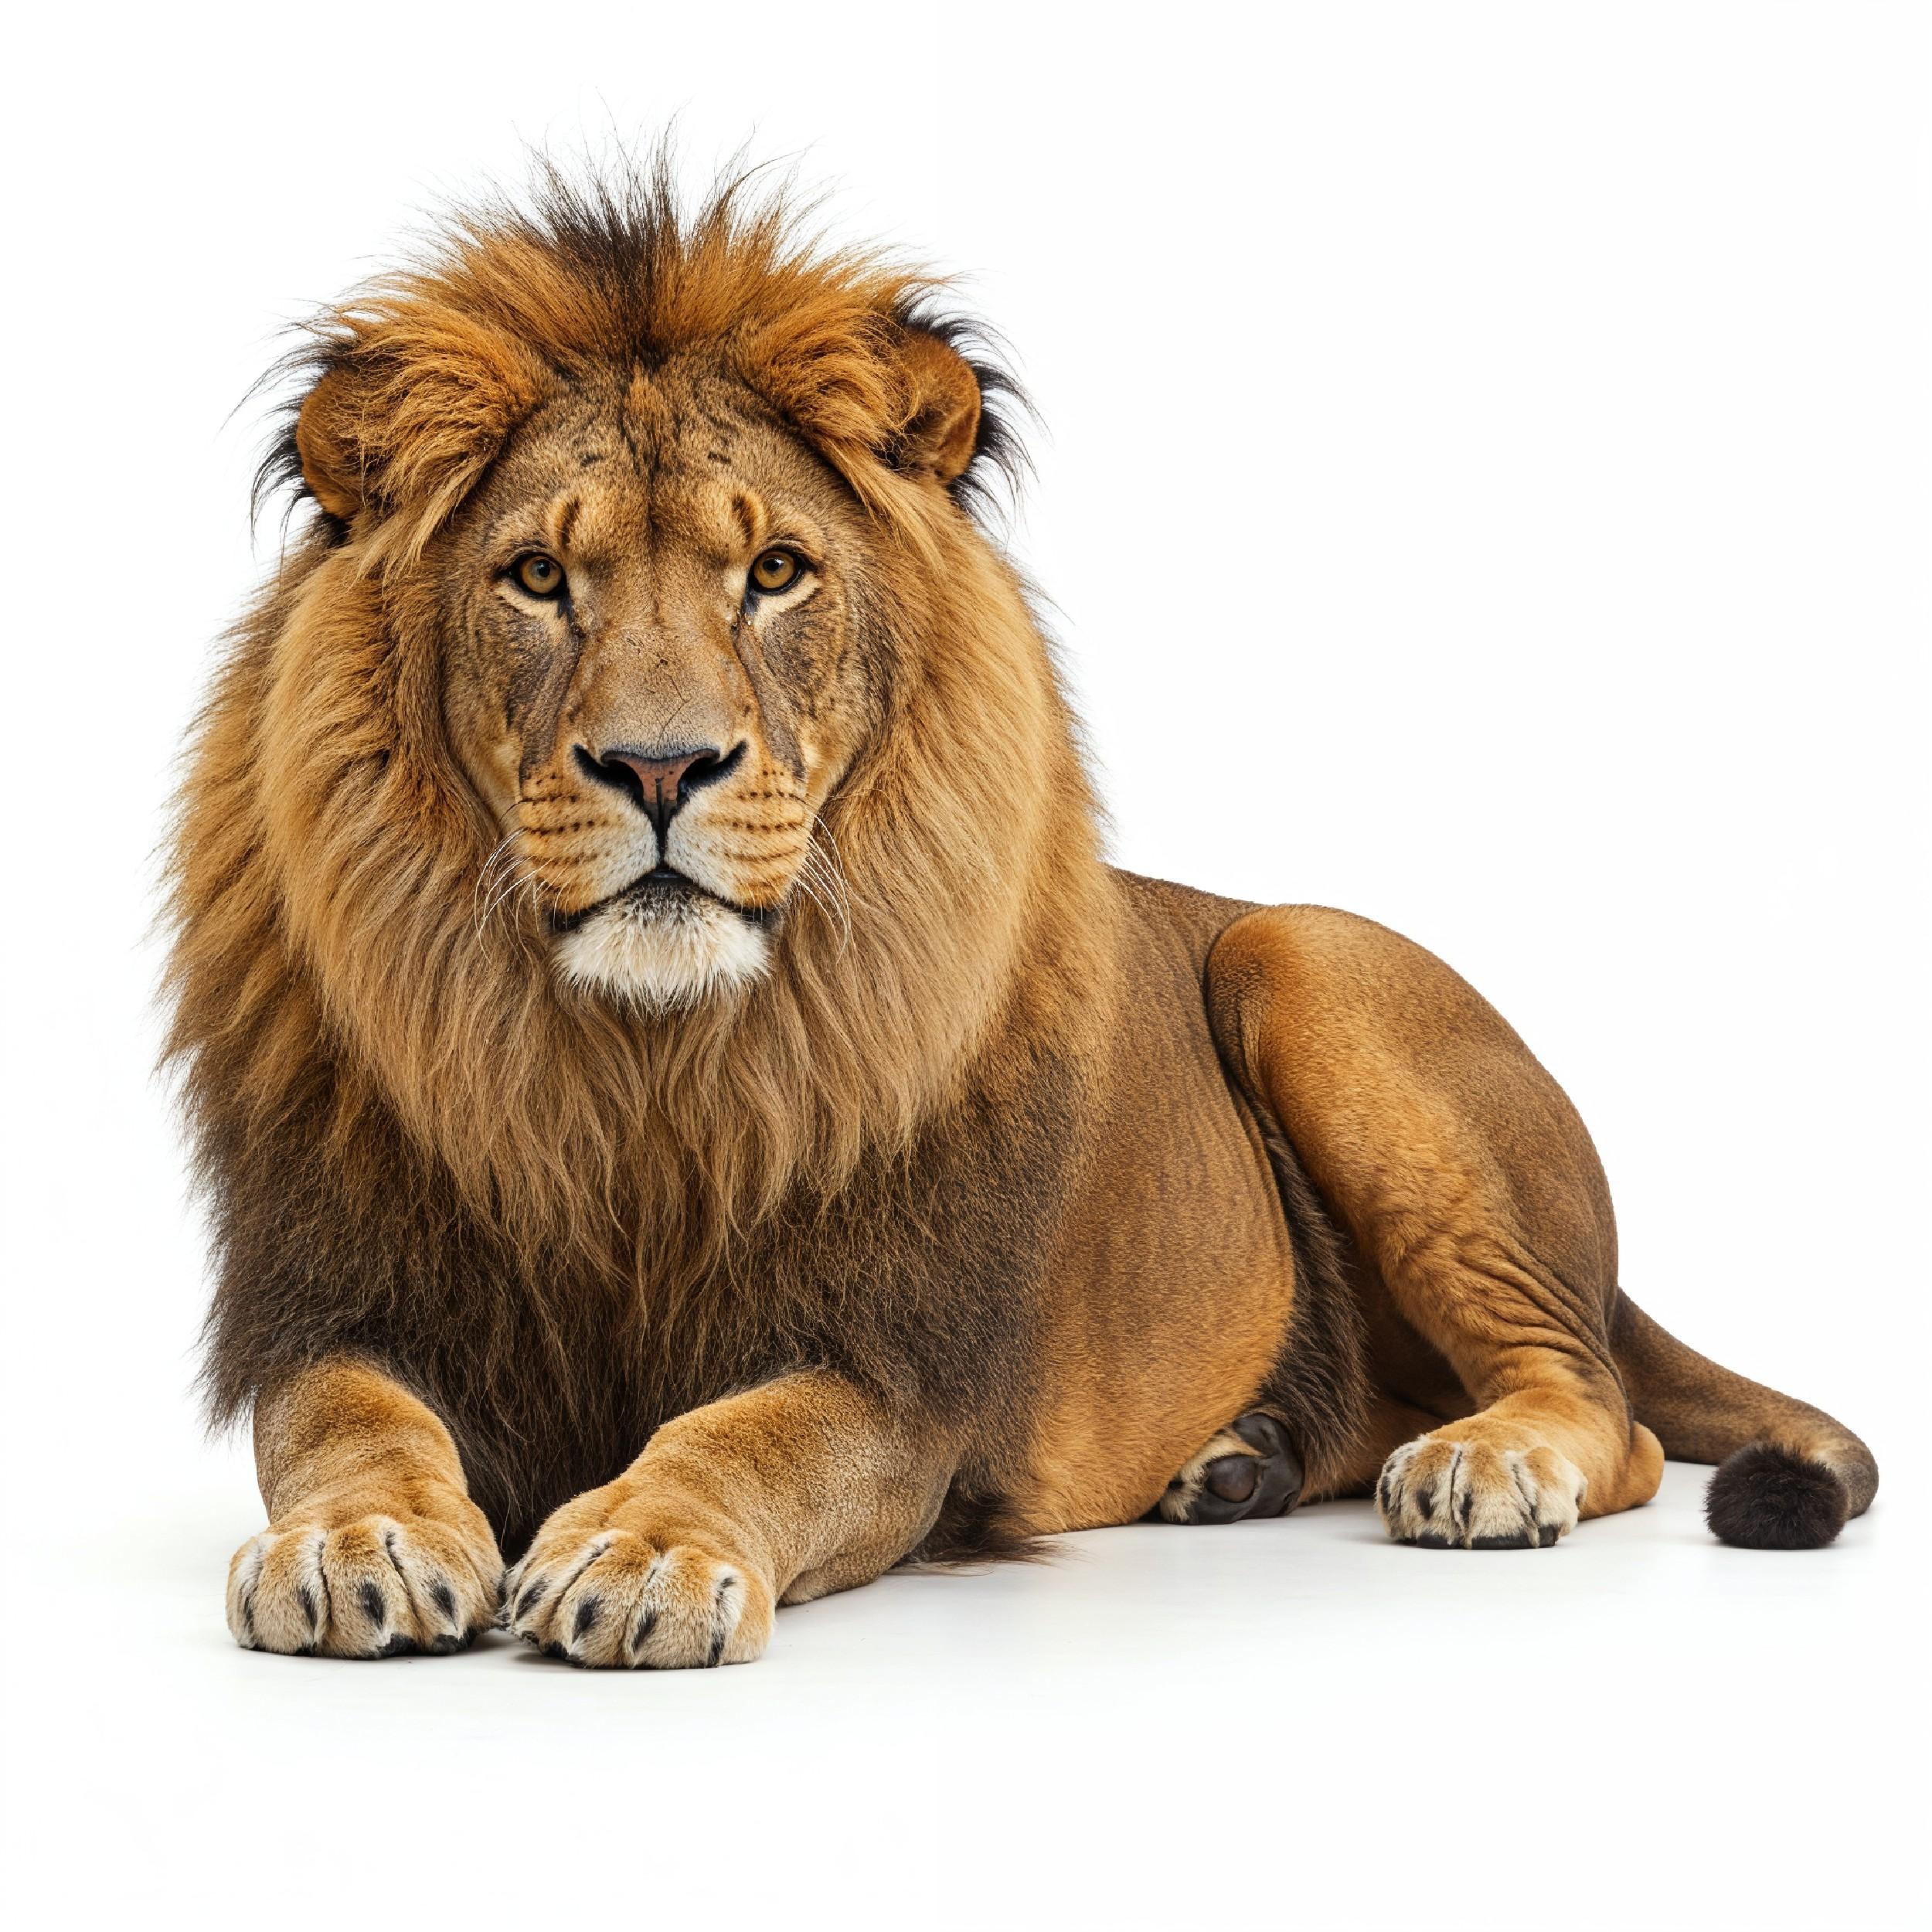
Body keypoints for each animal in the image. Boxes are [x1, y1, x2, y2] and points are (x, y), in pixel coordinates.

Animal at [167, 160, 1876, 1668]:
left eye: (773, 572)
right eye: (534, 577)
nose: (661, 765)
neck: (645, 1069)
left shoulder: (893, 1367)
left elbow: (746, 1436)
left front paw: (644, 1549)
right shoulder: (349, 1292)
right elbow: (345, 1424)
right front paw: (357, 1541)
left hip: (1302, 962)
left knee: (1611, 1408)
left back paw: (1481, 1463)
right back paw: (1243, 1459)